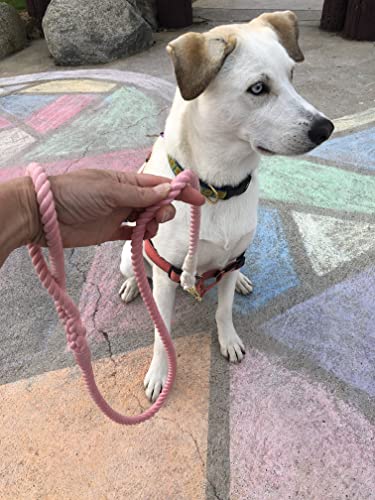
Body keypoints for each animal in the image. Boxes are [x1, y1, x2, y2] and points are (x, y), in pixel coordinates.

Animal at [119, 10, 334, 402]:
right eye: (258, 88)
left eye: (292, 75)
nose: (326, 128)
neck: (217, 188)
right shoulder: (166, 275)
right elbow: (161, 332)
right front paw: (159, 372)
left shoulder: (232, 258)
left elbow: (224, 310)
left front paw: (229, 339)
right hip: (132, 256)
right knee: (135, 269)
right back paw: (131, 285)